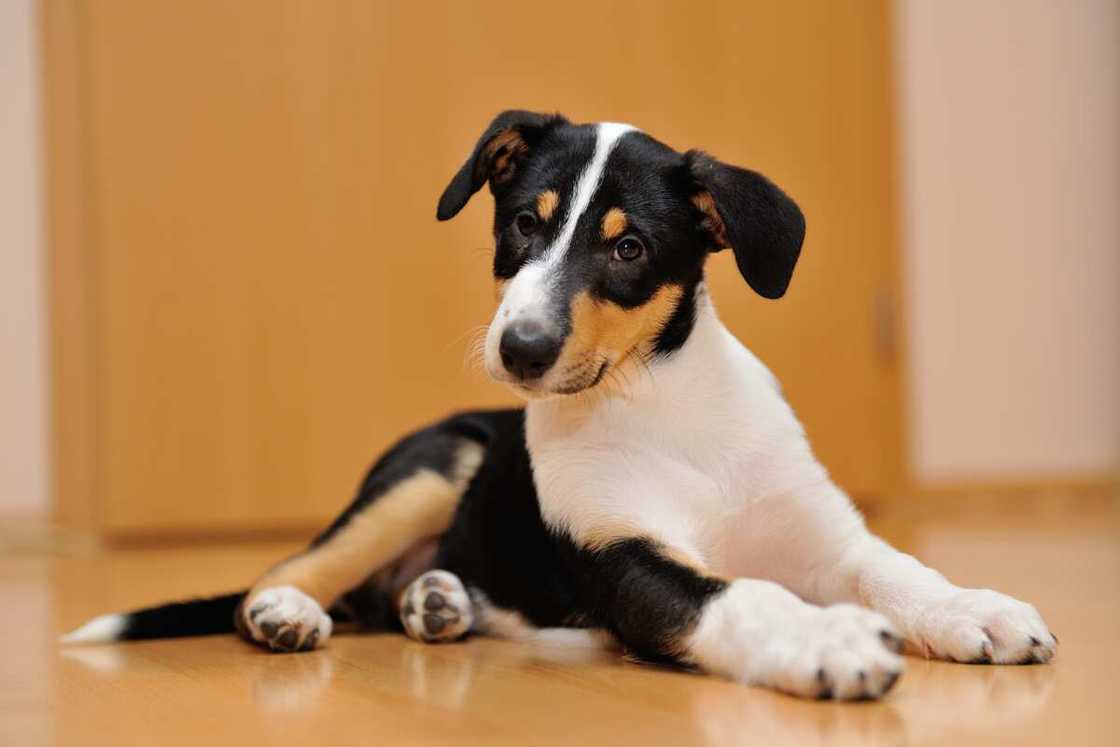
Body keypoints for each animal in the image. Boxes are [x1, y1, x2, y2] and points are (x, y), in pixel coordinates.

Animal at [65, 110, 1052, 703]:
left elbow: (900, 570)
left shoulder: (825, 536)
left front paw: (977, 609)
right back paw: (289, 612)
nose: (520, 349)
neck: (663, 408)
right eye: (522, 224)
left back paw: (436, 598)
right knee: (289, 569)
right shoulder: (628, 560)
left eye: (629, 248)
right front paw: (829, 641)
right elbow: (743, 597)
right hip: (434, 464)